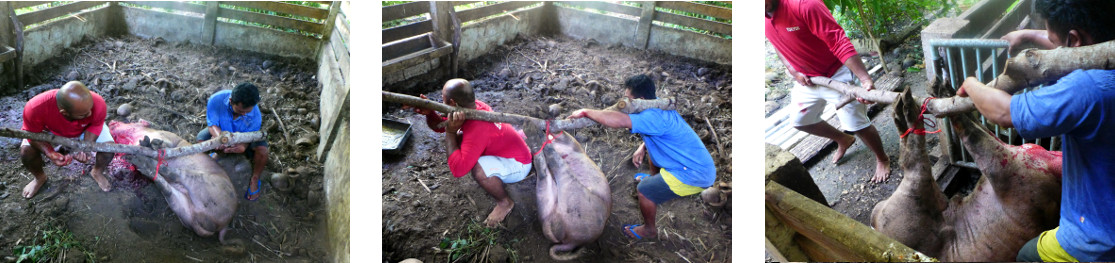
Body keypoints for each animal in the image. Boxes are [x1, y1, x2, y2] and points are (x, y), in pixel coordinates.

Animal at [108, 120, 237, 241]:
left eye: (129, 122)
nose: (111, 121)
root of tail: (223, 225)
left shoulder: (167, 136)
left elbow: (164, 145)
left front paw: (150, 143)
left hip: (203, 182)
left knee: (171, 172)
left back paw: (141, 156)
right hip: (184, 210)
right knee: (166, 188)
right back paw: (138, 162)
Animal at [869, 91, 1061, 259]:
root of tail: (875, 222)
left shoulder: (1017, 182)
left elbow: (977, 139)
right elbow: (981, 126)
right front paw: (948, 91)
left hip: (907, 216)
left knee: (914, 166)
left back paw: (906, 107)